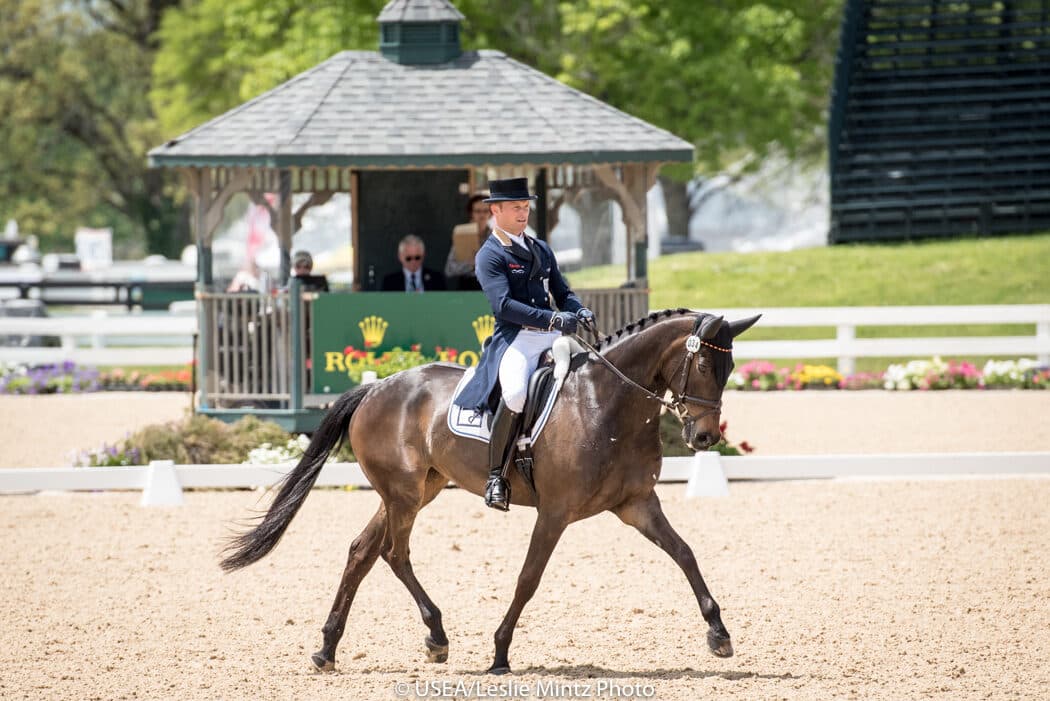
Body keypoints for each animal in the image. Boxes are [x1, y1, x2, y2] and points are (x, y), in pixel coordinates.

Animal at [220, 308, 760, 674]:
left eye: (730, 370)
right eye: (705, 368)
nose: (704, 438)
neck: (606, 404)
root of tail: (376, 388)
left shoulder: (637, 504)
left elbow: (685, 554)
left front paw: (718, 634)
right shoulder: (555, 512)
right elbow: (528, 579)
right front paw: (500, 652)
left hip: (416, 490)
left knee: (361, 552)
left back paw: (328, 649)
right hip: (403, 494)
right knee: (394, 553)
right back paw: (436, 636)